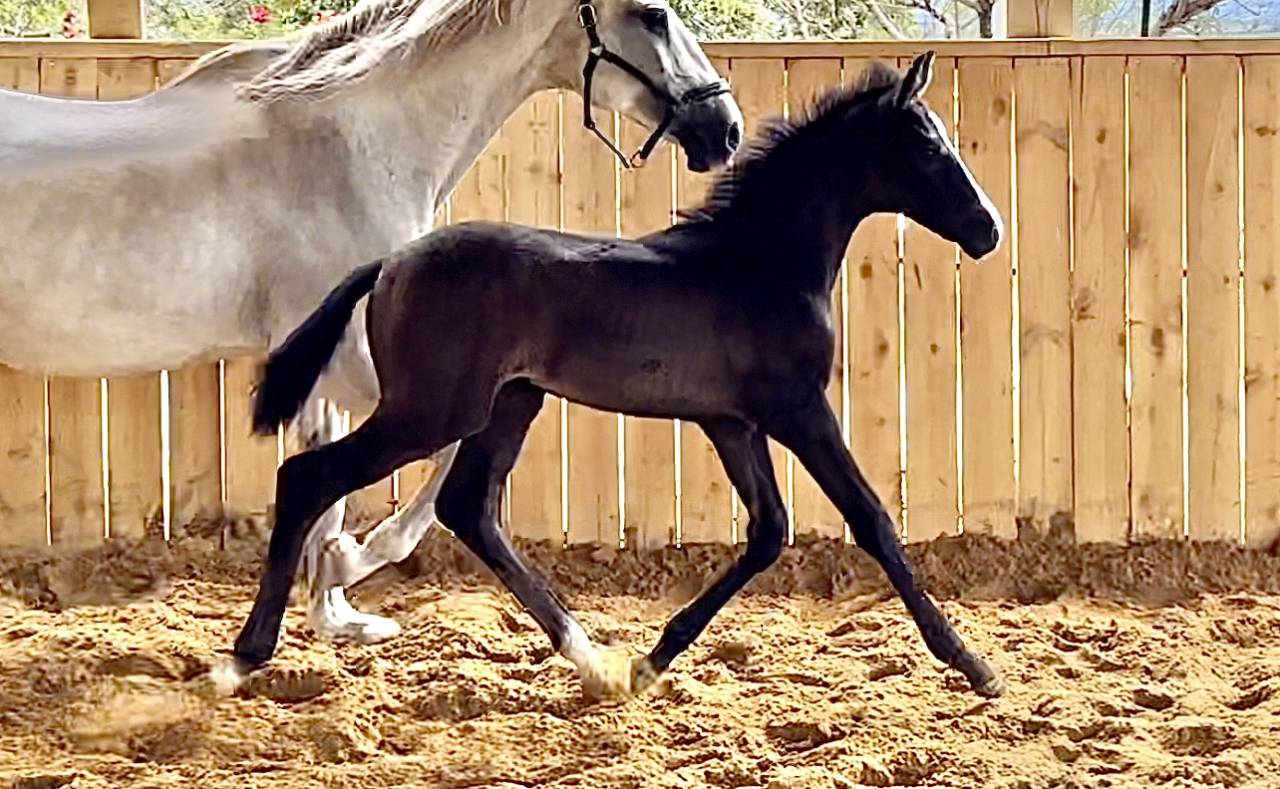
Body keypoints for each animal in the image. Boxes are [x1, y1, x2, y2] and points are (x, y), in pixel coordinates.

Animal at [0, 0, 741, 645]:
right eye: (653, 14)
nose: (724, 128)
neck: (352, 145)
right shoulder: (363, 363)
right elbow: (415, 463)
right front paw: (349, 565)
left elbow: (327, 480)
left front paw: (336, 613)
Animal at [229, 51, 1007, 701]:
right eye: (928, 146)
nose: (989, 229)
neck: (759, 261)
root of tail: (391, 264)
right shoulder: (798, 409)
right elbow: (871, 518)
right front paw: (972, 664)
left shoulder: (731, 421)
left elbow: (769, 531)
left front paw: (653, 659)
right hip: (433, 411)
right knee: (309, 477)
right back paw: (243, 656)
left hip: (511, 403)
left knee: (468, 508)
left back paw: (590, 658)